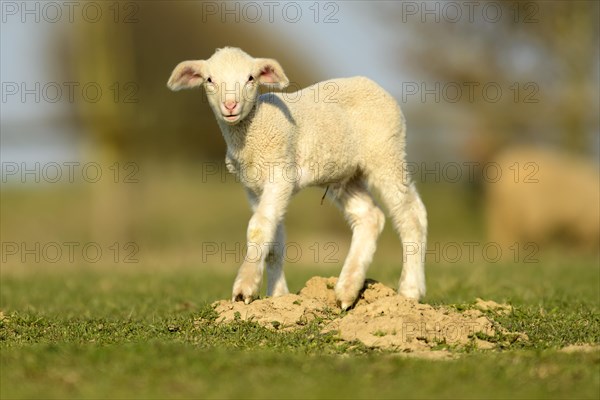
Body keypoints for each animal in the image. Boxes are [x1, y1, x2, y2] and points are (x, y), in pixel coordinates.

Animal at [166, 47, 426, 310]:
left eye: (250, 78)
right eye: (210, 80)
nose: (230, 105)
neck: (254, 128)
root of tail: (373, 84)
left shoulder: (280, 173)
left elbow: (258, 228)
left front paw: (244, 288)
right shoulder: (254, 188)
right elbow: (274, 241)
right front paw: (278, 296)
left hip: (386, 154)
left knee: (411, 216)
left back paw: (410, 291)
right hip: (345, 174)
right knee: (369, 216)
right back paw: (347, 291)